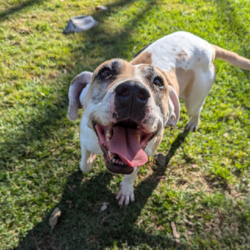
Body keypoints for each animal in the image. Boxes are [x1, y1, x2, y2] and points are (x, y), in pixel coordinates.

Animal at [67, 31, 249, 206]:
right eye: (105, 72)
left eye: (158, 82)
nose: (133, 91)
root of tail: (207, 44)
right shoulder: (85, 141)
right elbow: (84, 165)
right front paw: (90, 160)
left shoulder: (144, 156)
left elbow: (130, 176)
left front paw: (125, 191)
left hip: (195, 97)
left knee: (196, 110)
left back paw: (193, 123)